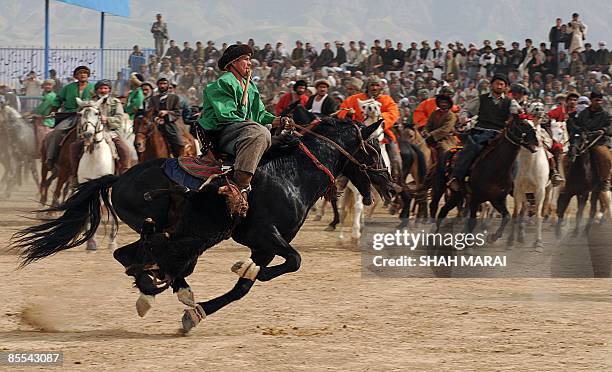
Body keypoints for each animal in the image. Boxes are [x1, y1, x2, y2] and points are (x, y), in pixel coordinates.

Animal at [13, 115, 392, 332]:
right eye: (374, 149)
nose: (389, 185)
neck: (292, 174)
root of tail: (118, 177)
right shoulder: (265, 235)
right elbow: (293, 262)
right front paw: (241, 269)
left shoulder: (265, 245)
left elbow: (245, 286)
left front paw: (200, 311)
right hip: (166, 230)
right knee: (142, 256)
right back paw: (158, 288)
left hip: (176, 235)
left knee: (133, 257)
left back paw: (163, 290)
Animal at [74, 98, 119, 250]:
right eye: (80, 114)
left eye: (97, 113)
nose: (88, 134)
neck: (95, 157)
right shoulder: (85, 187)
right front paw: (90, 242)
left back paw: (112, 240)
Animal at [506, 103, 548, 250]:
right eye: (523, 124)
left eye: (534, 127)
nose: (539, 110)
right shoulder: (518, 188)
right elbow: (515, 213)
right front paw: (510, 241)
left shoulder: (540, 190)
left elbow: (538, 215)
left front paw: (538, 242)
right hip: (524, 192)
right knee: (523, 210)